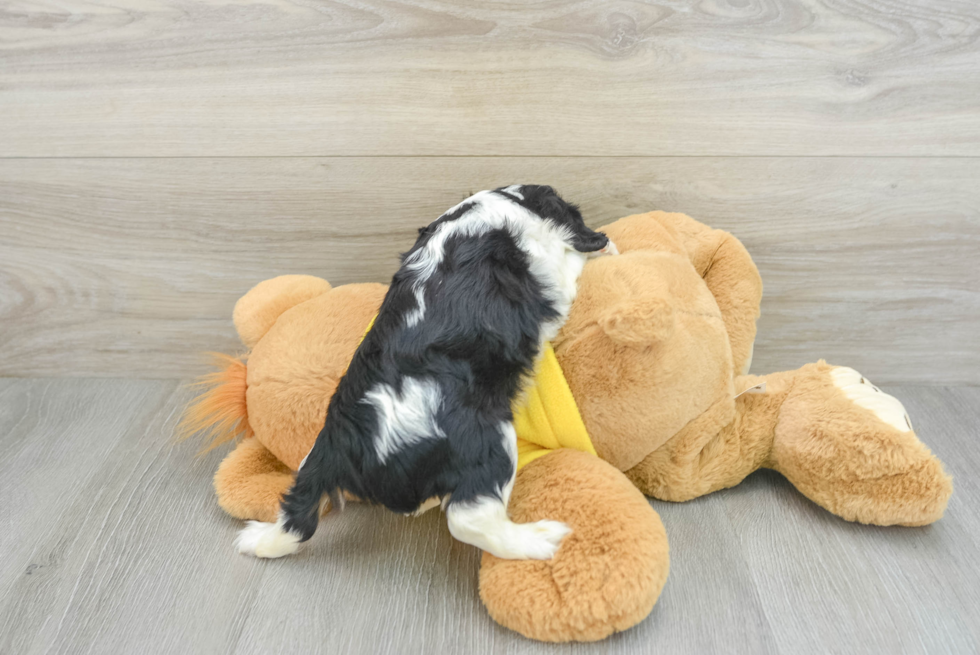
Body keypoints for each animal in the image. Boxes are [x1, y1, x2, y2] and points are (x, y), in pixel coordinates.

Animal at [235, 186, 612, 564]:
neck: (501, 205)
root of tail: (345, 450)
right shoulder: (550, 268)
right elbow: (570, 262)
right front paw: (606, 249)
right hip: (487, 441)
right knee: (468, 518)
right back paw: (540, 539)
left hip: (310, 461)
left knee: (295, 514)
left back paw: (259, 537)